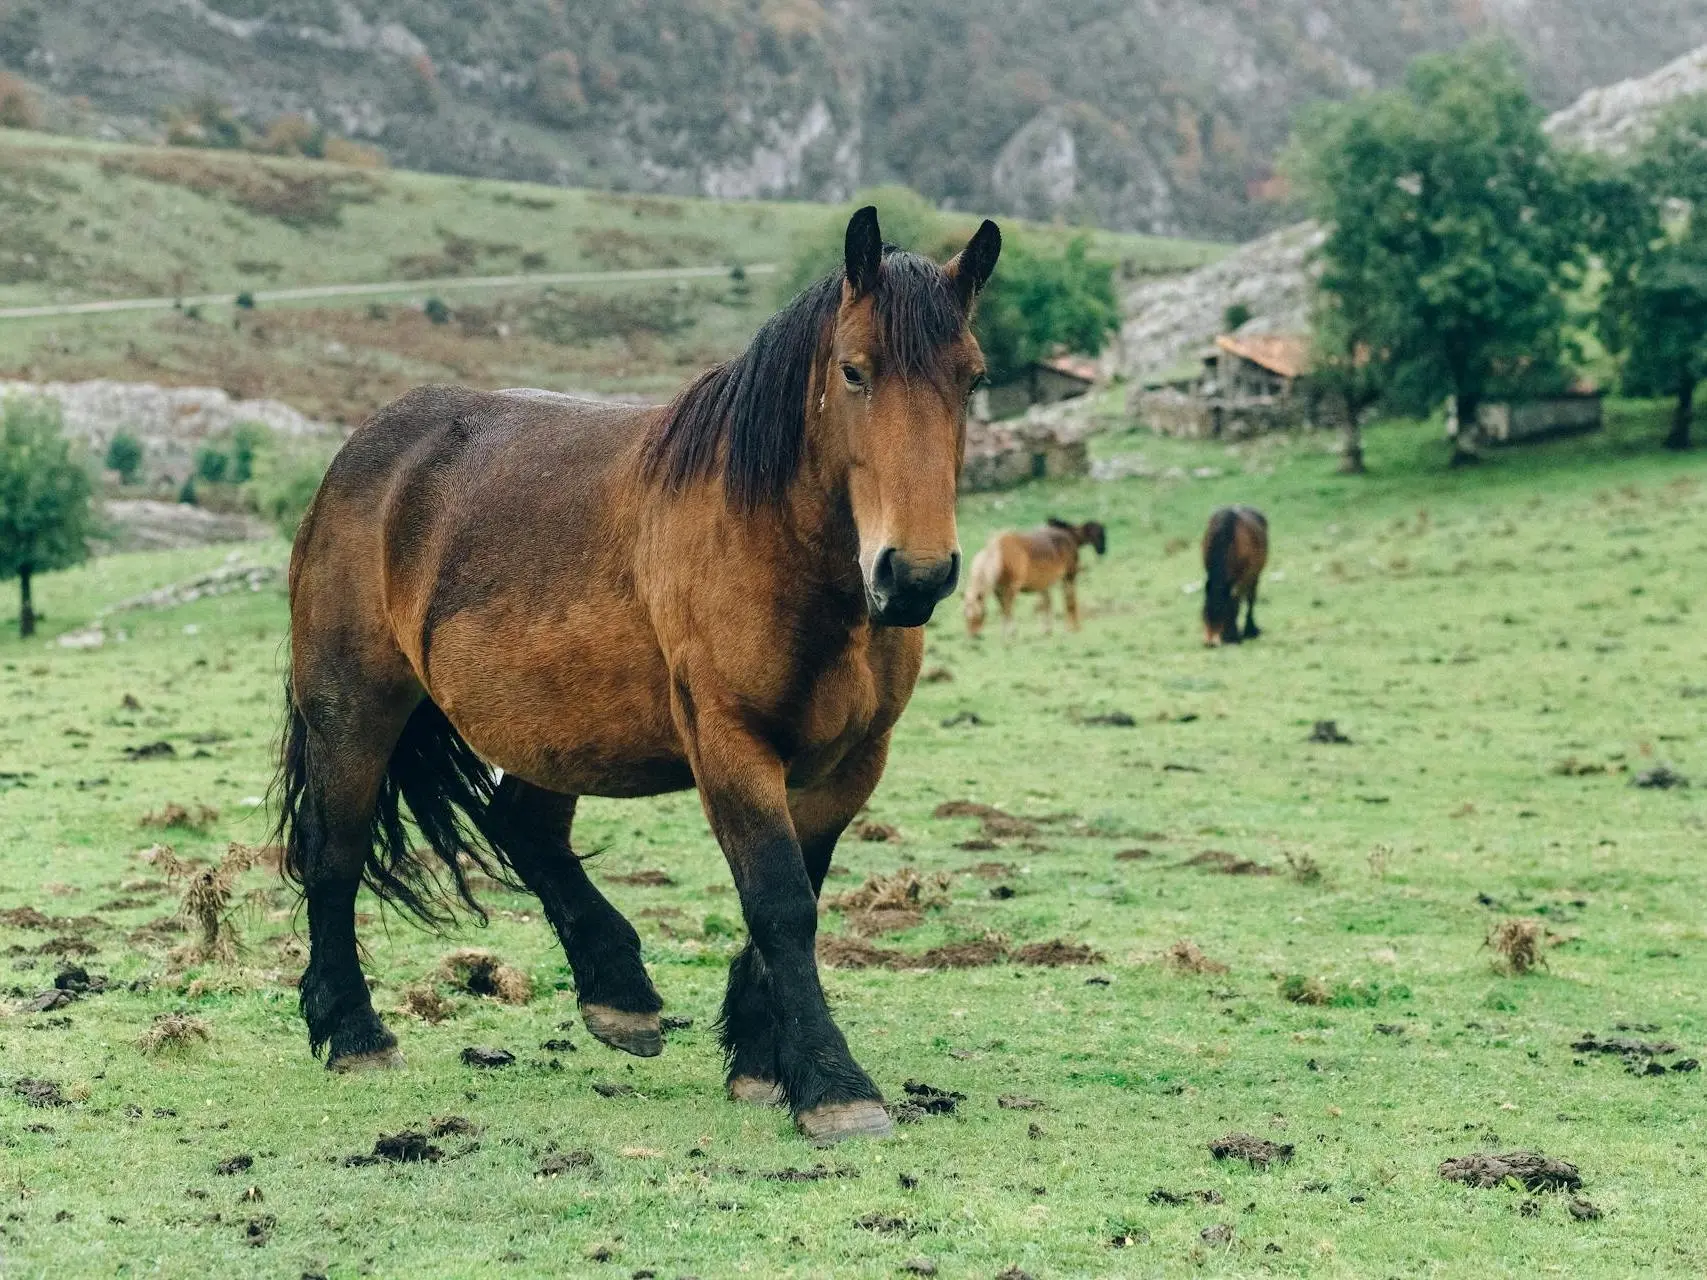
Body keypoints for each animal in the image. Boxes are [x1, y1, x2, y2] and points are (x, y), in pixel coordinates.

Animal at [273, 208, 996, 1140]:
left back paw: (617, 993)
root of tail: (364, 453)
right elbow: (780, 902)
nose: (913, 575)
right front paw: (834, 1085)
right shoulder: (730, 745)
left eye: (972, 379)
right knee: (335, 852)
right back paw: (354, 1032)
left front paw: (762, 1060)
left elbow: (799, 890)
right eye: (854, 370)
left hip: (557, 723)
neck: (773, 547)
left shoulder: (851, 763)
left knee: (521, 827)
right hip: (355, 709)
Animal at [962, 518, 1106, 638]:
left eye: (978, 614)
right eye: (965, 614)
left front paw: (1010, 632)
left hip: (1069, 576)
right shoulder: (998, 590)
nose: (973, 636)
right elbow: (1003, 609)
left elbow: (1008, 608)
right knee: (1048, 602)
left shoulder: (1011, 588)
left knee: (1070, 600)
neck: (999, 557)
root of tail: (1068, 536)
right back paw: (1048, 630)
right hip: (1046, 583)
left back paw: (1073, 627)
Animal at [1201, 501, 1270, 641]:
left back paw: (1250, 629)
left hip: (1254, 576)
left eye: (1222, 611)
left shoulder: (1242, 578)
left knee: (1250, 599)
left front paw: (1232, 633)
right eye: (1204, 611)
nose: (1210, 642)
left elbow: (1236, 602)